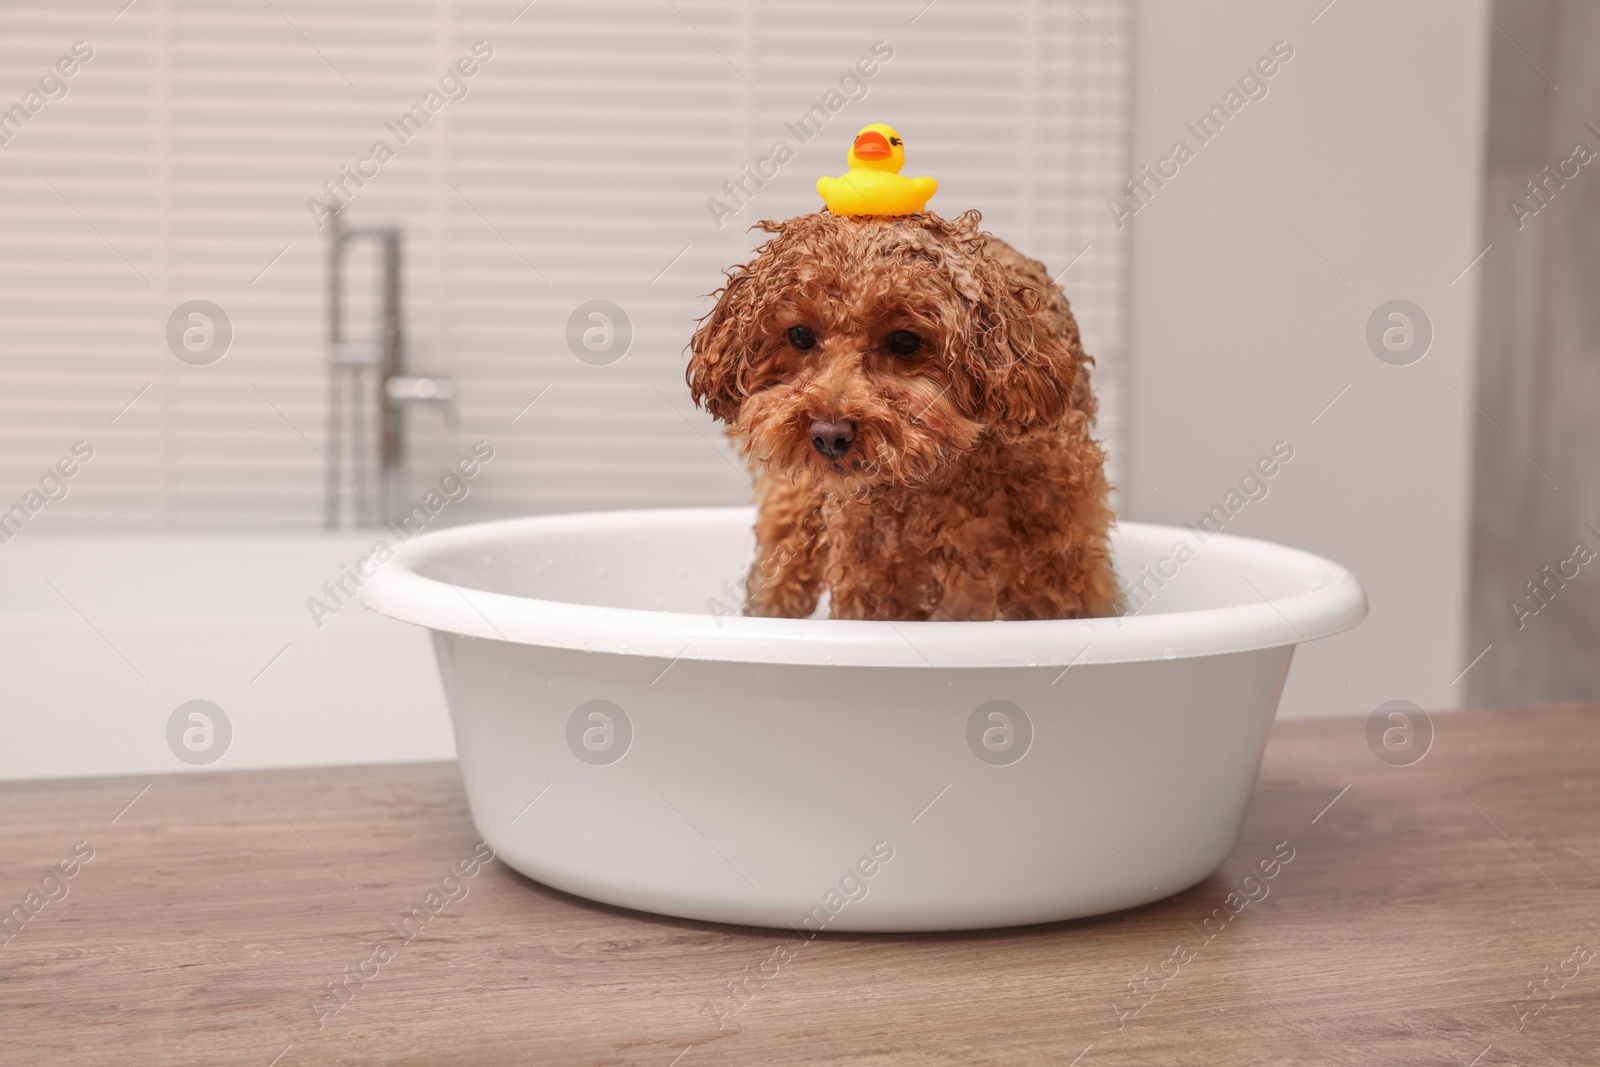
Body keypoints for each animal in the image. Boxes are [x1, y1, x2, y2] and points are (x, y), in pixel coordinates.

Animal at [688, 207, 1126, 620]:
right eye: (800, 335)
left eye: (904, 341)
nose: (829, 436)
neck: (945, 475)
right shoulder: (874, 583)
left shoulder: (1061, 578)